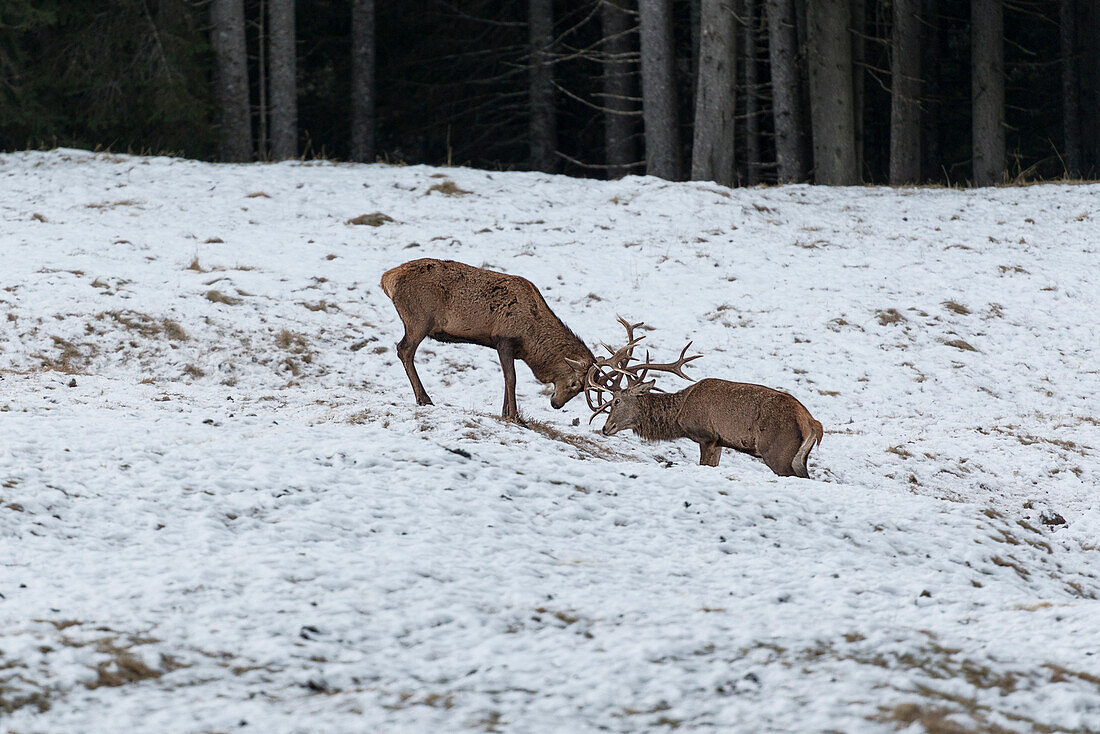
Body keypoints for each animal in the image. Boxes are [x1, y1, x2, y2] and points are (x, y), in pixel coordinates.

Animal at [382, 257, 598, 418]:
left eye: (580, 390)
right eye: (574, 383)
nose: (556, 404)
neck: (531, 342)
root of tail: (387, 278)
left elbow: (507, 378)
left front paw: (505, 413)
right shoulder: (504, 339)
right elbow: (511, 378)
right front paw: (514, 416)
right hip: (419, 320)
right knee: (404, 350)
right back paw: (424, 398)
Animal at [589, 319, 822, 479]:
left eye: (616, 401)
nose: (605, 428)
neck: (679, 416)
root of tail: (812, 423)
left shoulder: (706, 436)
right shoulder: (719, 441)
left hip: (777, 451)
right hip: (798, 458)